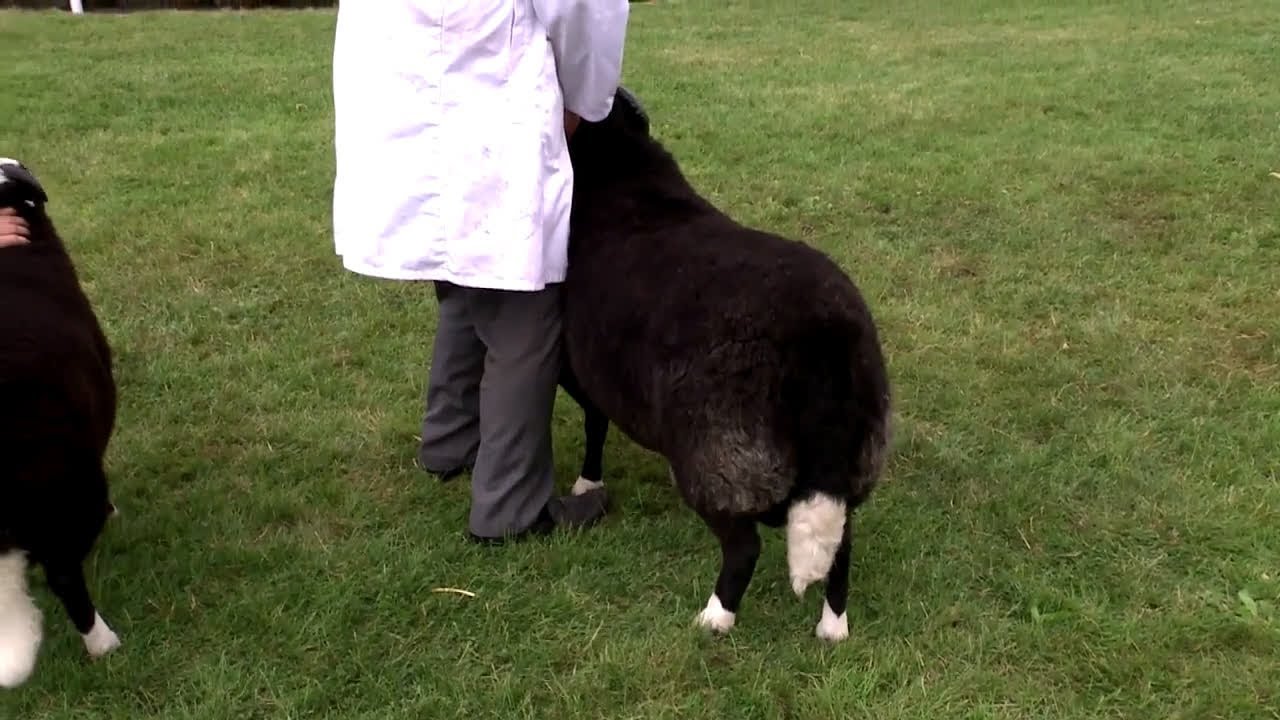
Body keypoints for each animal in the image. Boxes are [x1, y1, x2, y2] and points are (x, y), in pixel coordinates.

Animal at [557, 89, 892, 641]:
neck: (618, 165)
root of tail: (824, 341)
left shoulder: (575, 368)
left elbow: (595, 423)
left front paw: (588, 483)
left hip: (720, 459)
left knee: (743, 546)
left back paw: (715, 618)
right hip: (850, 461)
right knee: (842, 545)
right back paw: (832, 628)